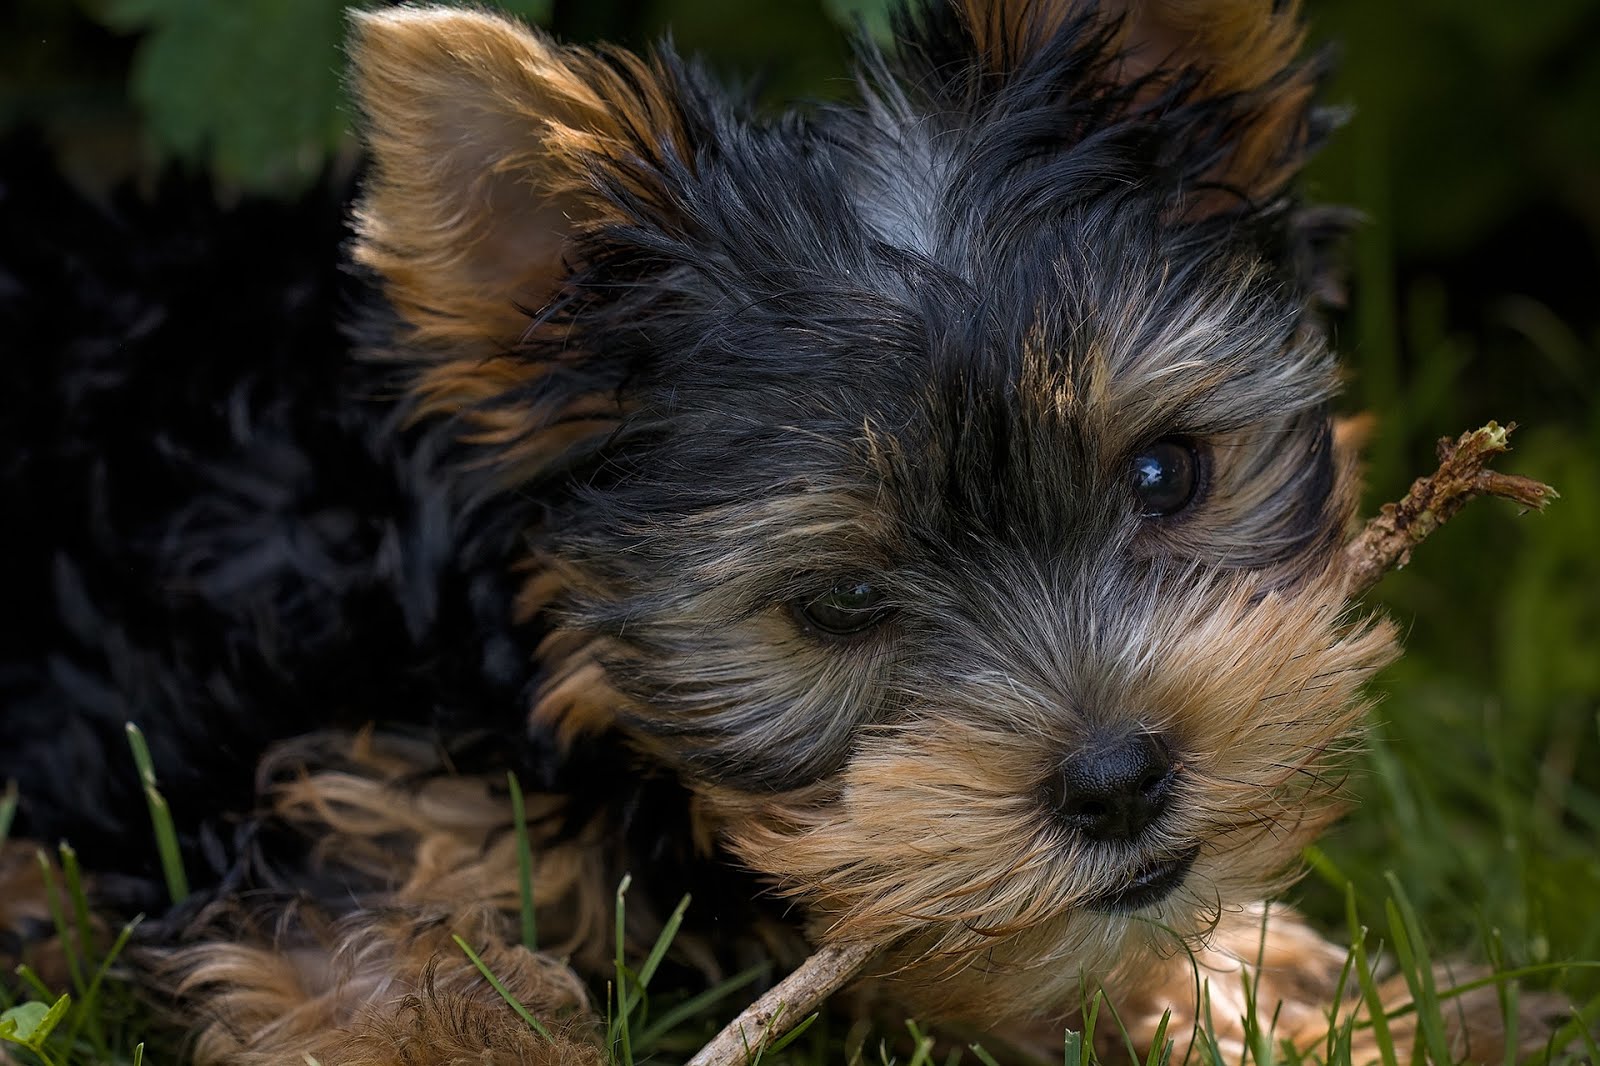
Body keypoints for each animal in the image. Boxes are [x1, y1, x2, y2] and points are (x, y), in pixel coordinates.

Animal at [0, 0, 1555, 1056]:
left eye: (1167, 474)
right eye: (841, 603)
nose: (1118, 781)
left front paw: (1331, 1005)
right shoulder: (311, 801)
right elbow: (385, 972)